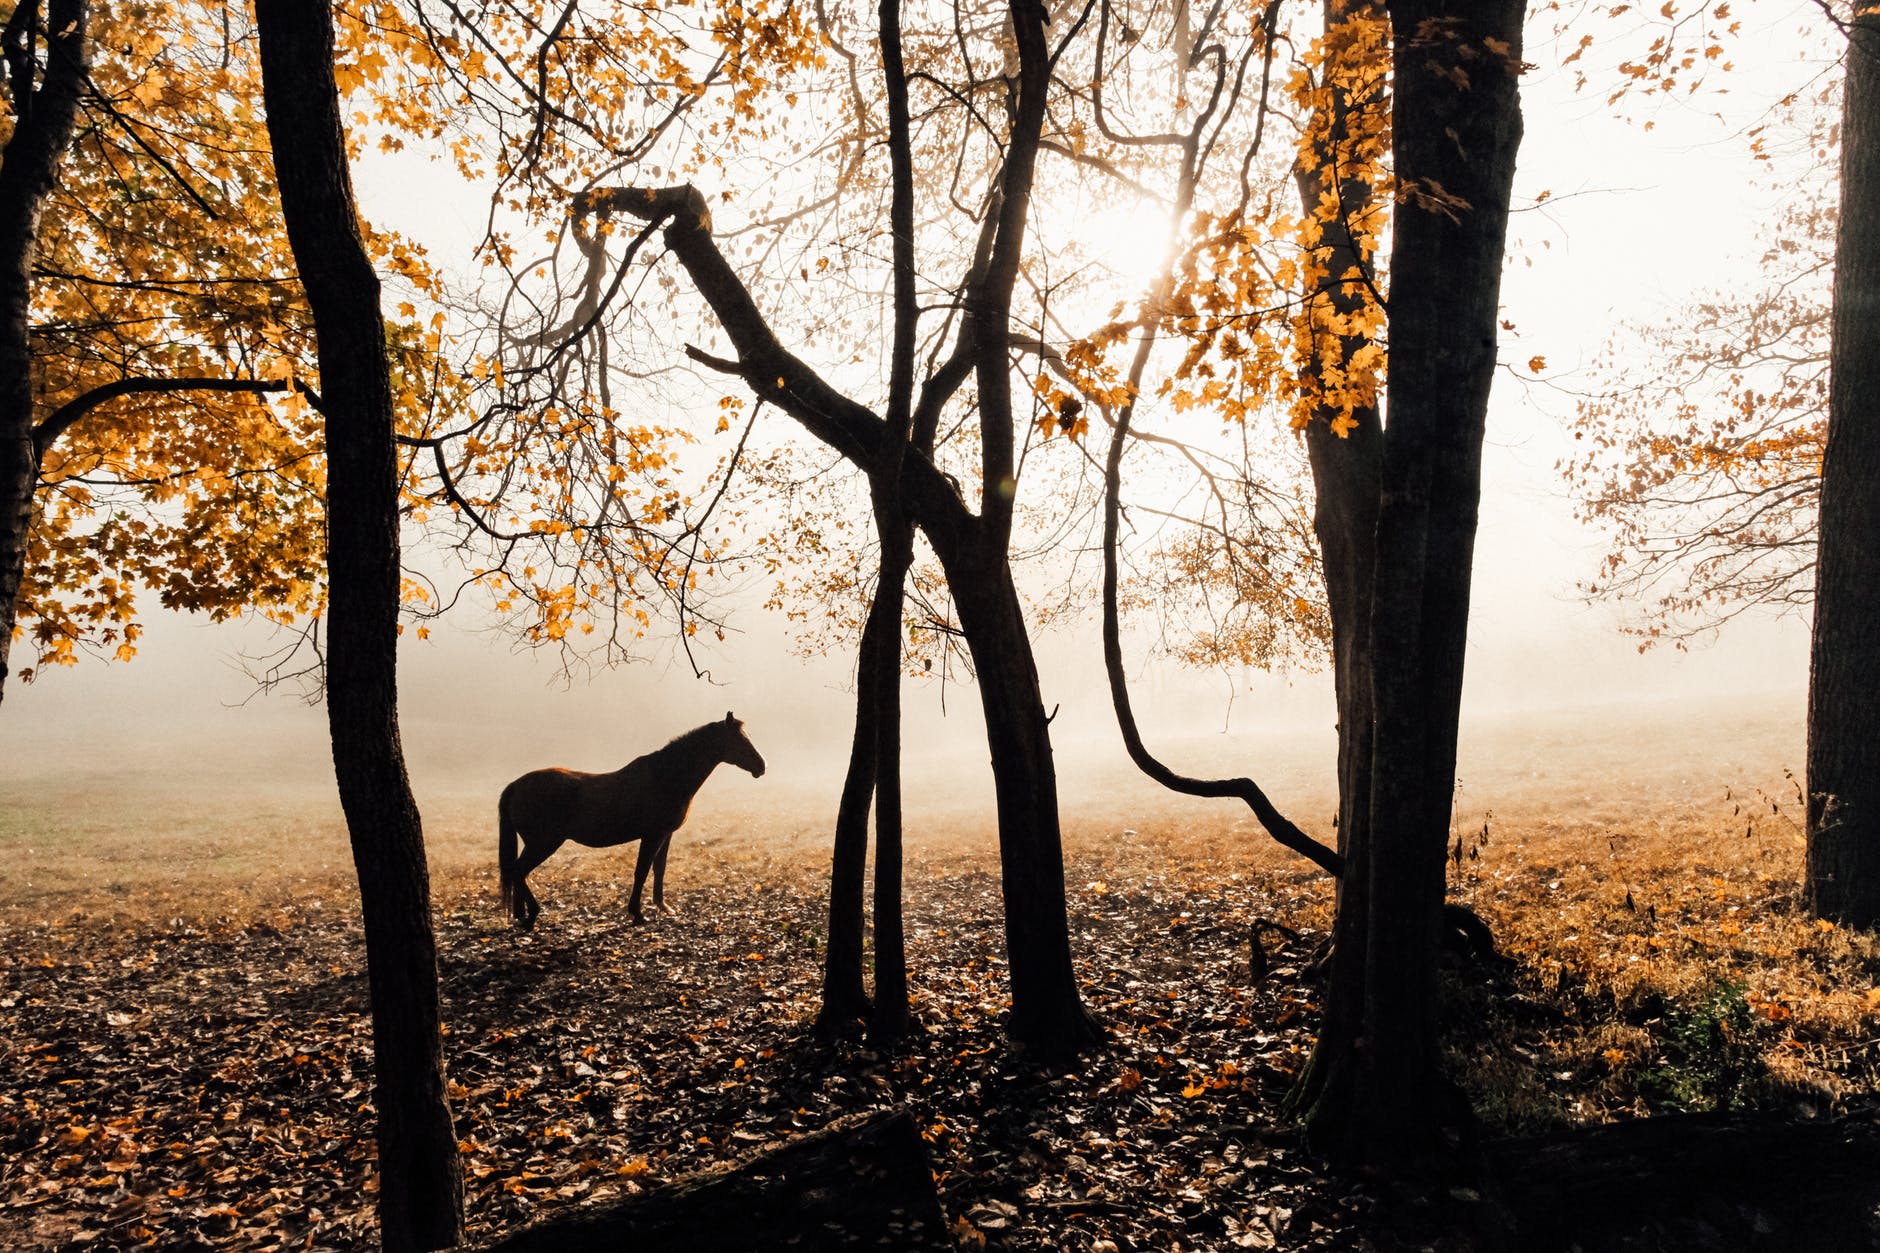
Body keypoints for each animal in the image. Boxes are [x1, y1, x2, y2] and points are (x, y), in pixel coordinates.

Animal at [498, 712, 766, 930]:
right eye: (740, 741)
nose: (761, 767)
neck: (665, 777)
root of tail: (515, 785)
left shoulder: (665, 835)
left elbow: (659, 869)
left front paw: (663, 907)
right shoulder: (652, 835)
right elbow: (641, 871)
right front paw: (637, 913)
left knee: (518, 873)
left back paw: (522, 915)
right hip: (543, 843)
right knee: (518, 870)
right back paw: (533, 914)